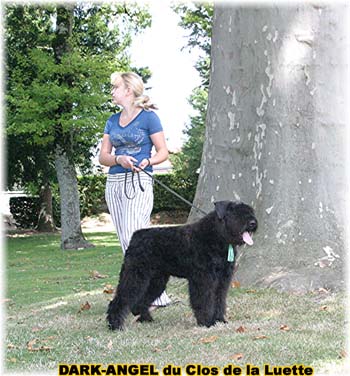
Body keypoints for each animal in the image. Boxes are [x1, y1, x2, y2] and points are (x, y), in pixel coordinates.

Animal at [106, 200, 258, 328]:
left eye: (250, 211)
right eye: (235, 213)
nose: (252, 223)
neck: (218, 237)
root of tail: (135, 236)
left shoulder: (222, 279)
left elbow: (219, 298)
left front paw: (220, 319)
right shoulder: (204, 279)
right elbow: (204, 300)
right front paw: (207, 322)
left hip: (156, 281)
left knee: (141, 300)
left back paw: (145, 318)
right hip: (135, 276)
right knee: (121, 298)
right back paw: (115, 324)